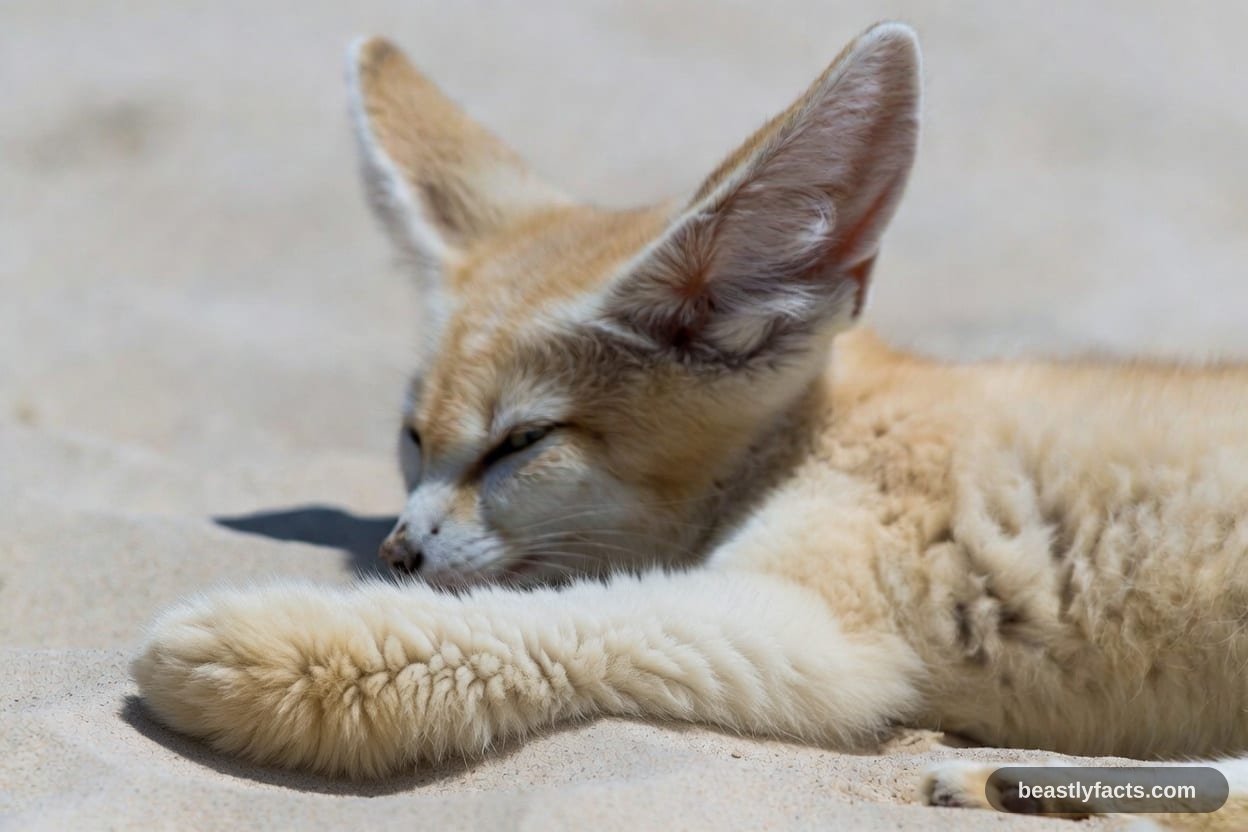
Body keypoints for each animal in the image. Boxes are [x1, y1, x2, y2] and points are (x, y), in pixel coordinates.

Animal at [132, 21, 1248, 828]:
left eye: (520, 443)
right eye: (412, 436)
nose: (396, 552)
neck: (814, 433)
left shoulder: (819, 626)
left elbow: (558, 619)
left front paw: (273, 651)